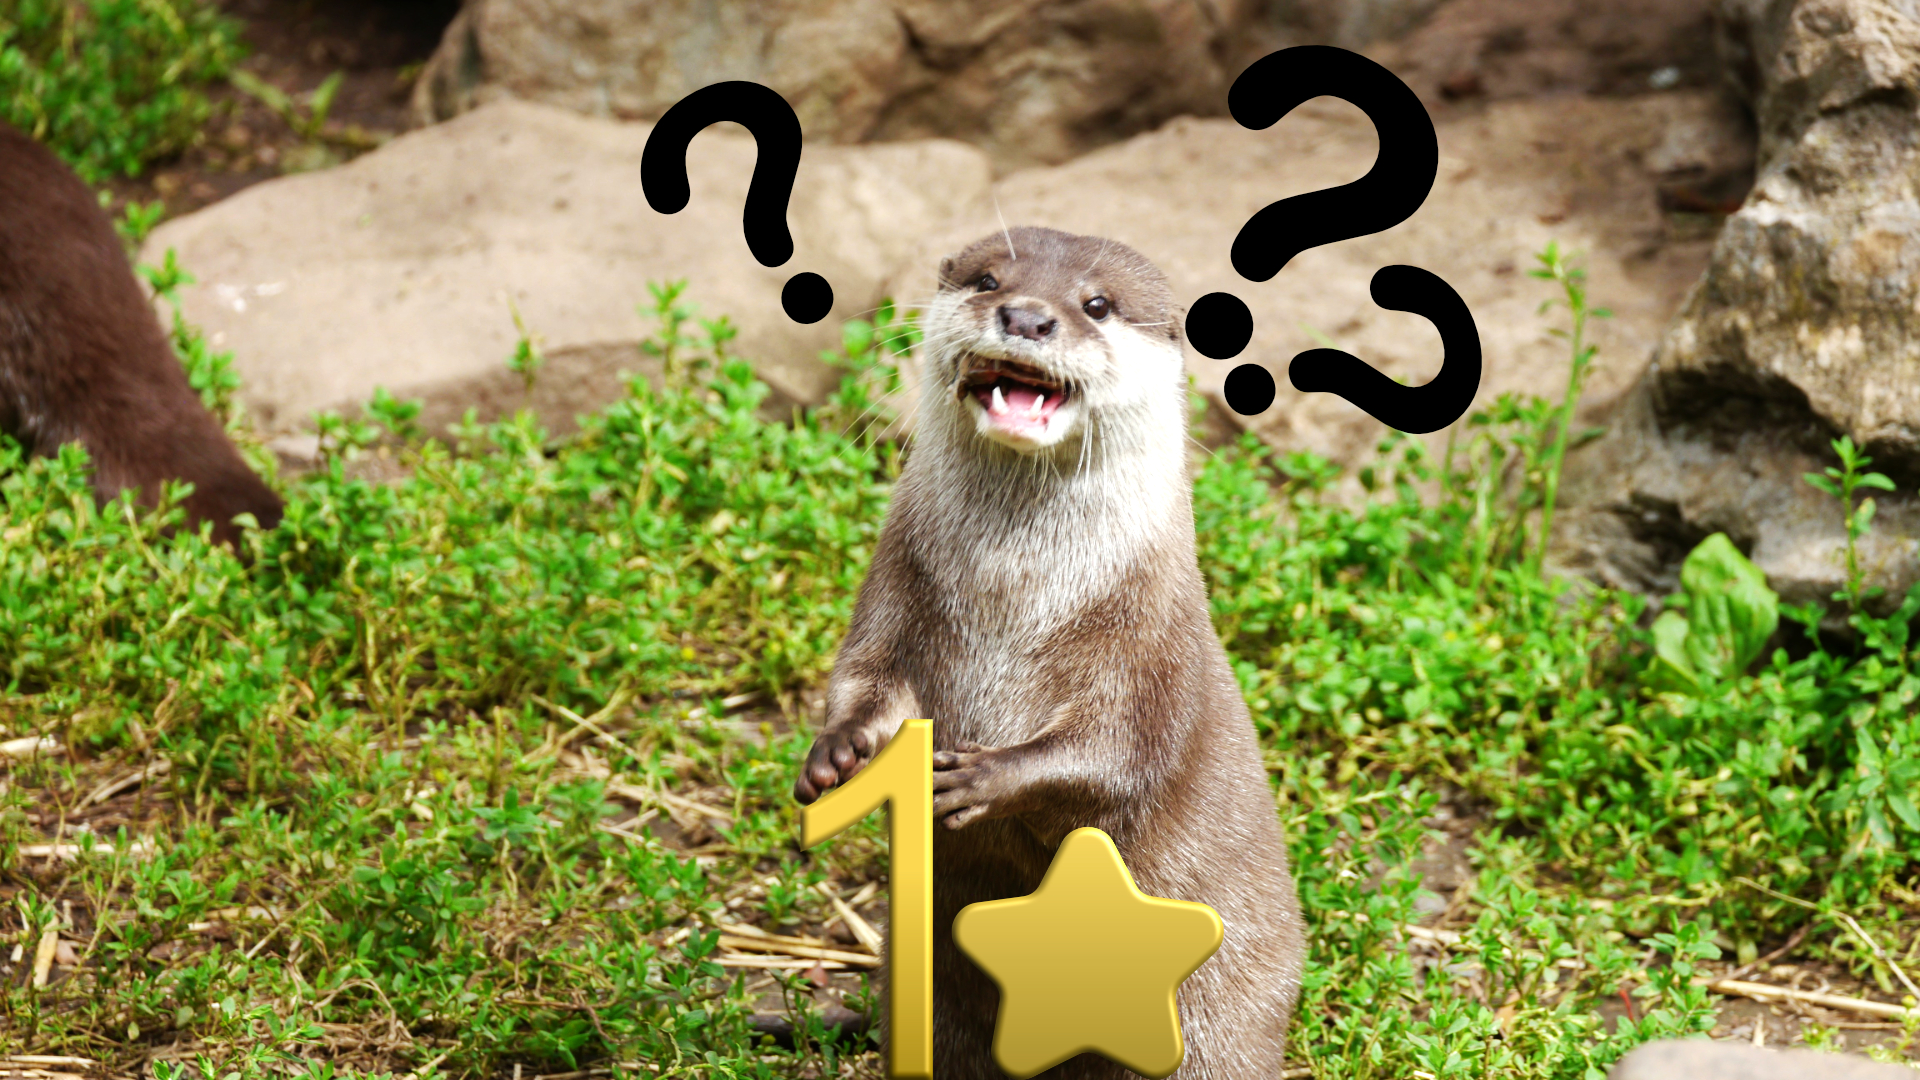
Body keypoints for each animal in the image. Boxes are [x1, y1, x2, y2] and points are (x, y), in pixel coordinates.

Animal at [795, 226, 1305, 1078]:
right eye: (988, 279)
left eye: (1096, 304)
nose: (1027, 316)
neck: (1014, 595)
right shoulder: (894, 589)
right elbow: (866, 678)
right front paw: (837, 753)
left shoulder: (1149, 648)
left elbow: (1119, 756)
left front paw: (983, 777)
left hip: (1221, 1016)